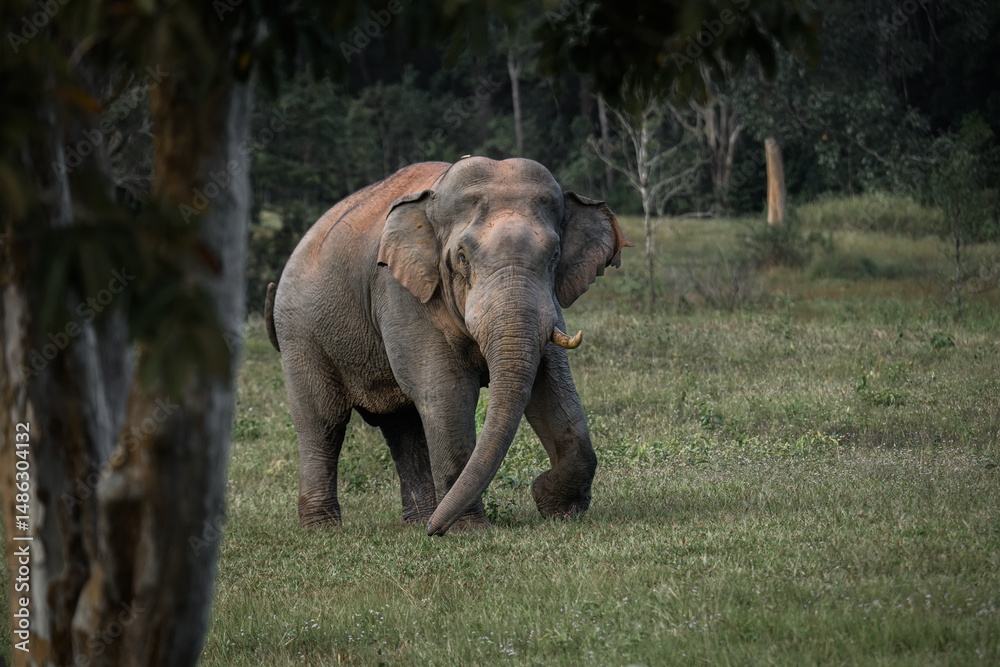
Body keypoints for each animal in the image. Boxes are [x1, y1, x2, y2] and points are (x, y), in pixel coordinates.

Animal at [265, 157, 632, 536]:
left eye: (555, 256)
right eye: (462, 258)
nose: (434, 532)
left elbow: (552, 387)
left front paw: (557, 508)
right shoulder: (401, 291)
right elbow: (448, 393)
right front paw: (468, 530)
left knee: (402, 425)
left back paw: (418, 519)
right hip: (301, 333)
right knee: (322, 421)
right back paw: (324, 528)